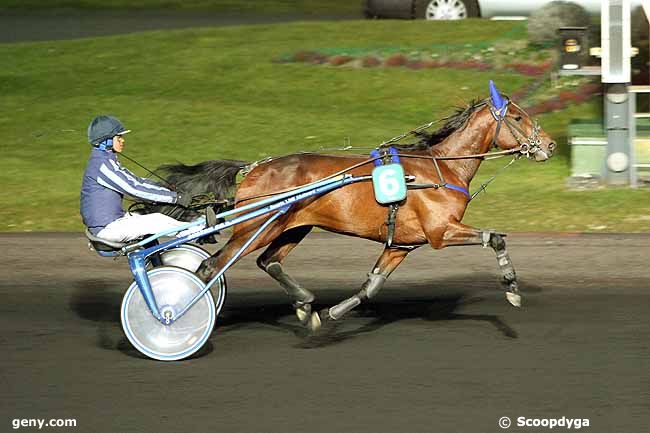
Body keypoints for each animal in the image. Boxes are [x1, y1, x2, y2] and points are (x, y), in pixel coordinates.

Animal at [148, 80, 556, 330]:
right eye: (518, 117)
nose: (549, 145)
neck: (440, 168)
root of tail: (255, 167)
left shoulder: (401, 244)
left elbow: (371, 286)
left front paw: (332, 312)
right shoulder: (442, 231)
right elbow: (496, 237)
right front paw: (512, 288)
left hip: (292, 227)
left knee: (269, 262)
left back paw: (304, 303)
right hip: (255, 226)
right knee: (211, 267)